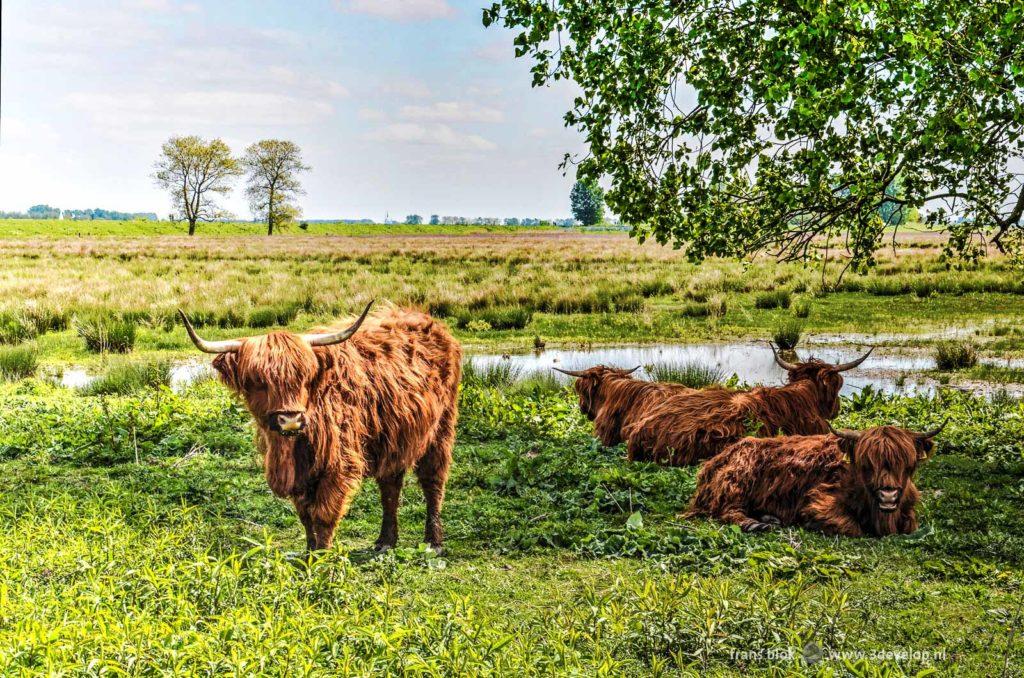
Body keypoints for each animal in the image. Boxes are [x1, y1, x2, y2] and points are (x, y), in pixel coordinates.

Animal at [180, 305, 460, 557]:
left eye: (305, 377)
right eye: (259, 381)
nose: (290, 420)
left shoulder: (338, 463)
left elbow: (323, 514)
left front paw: (322, 560)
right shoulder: (300, 474)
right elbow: (305, 515)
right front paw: (309, 552)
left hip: (441, 428)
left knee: (433, 481)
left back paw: (433, 543)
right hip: (394, 436)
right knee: (390, 486)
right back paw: (385, 542)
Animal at [688, 421, 942, 540]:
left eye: (907, 463)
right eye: (866, 464)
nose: (887, 495)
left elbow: (910, 525)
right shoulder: (818, 500)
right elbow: (852, 527)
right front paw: (811, 523)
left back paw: (769, 518)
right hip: (737, 479)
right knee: (726, 509)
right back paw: (755, 524)